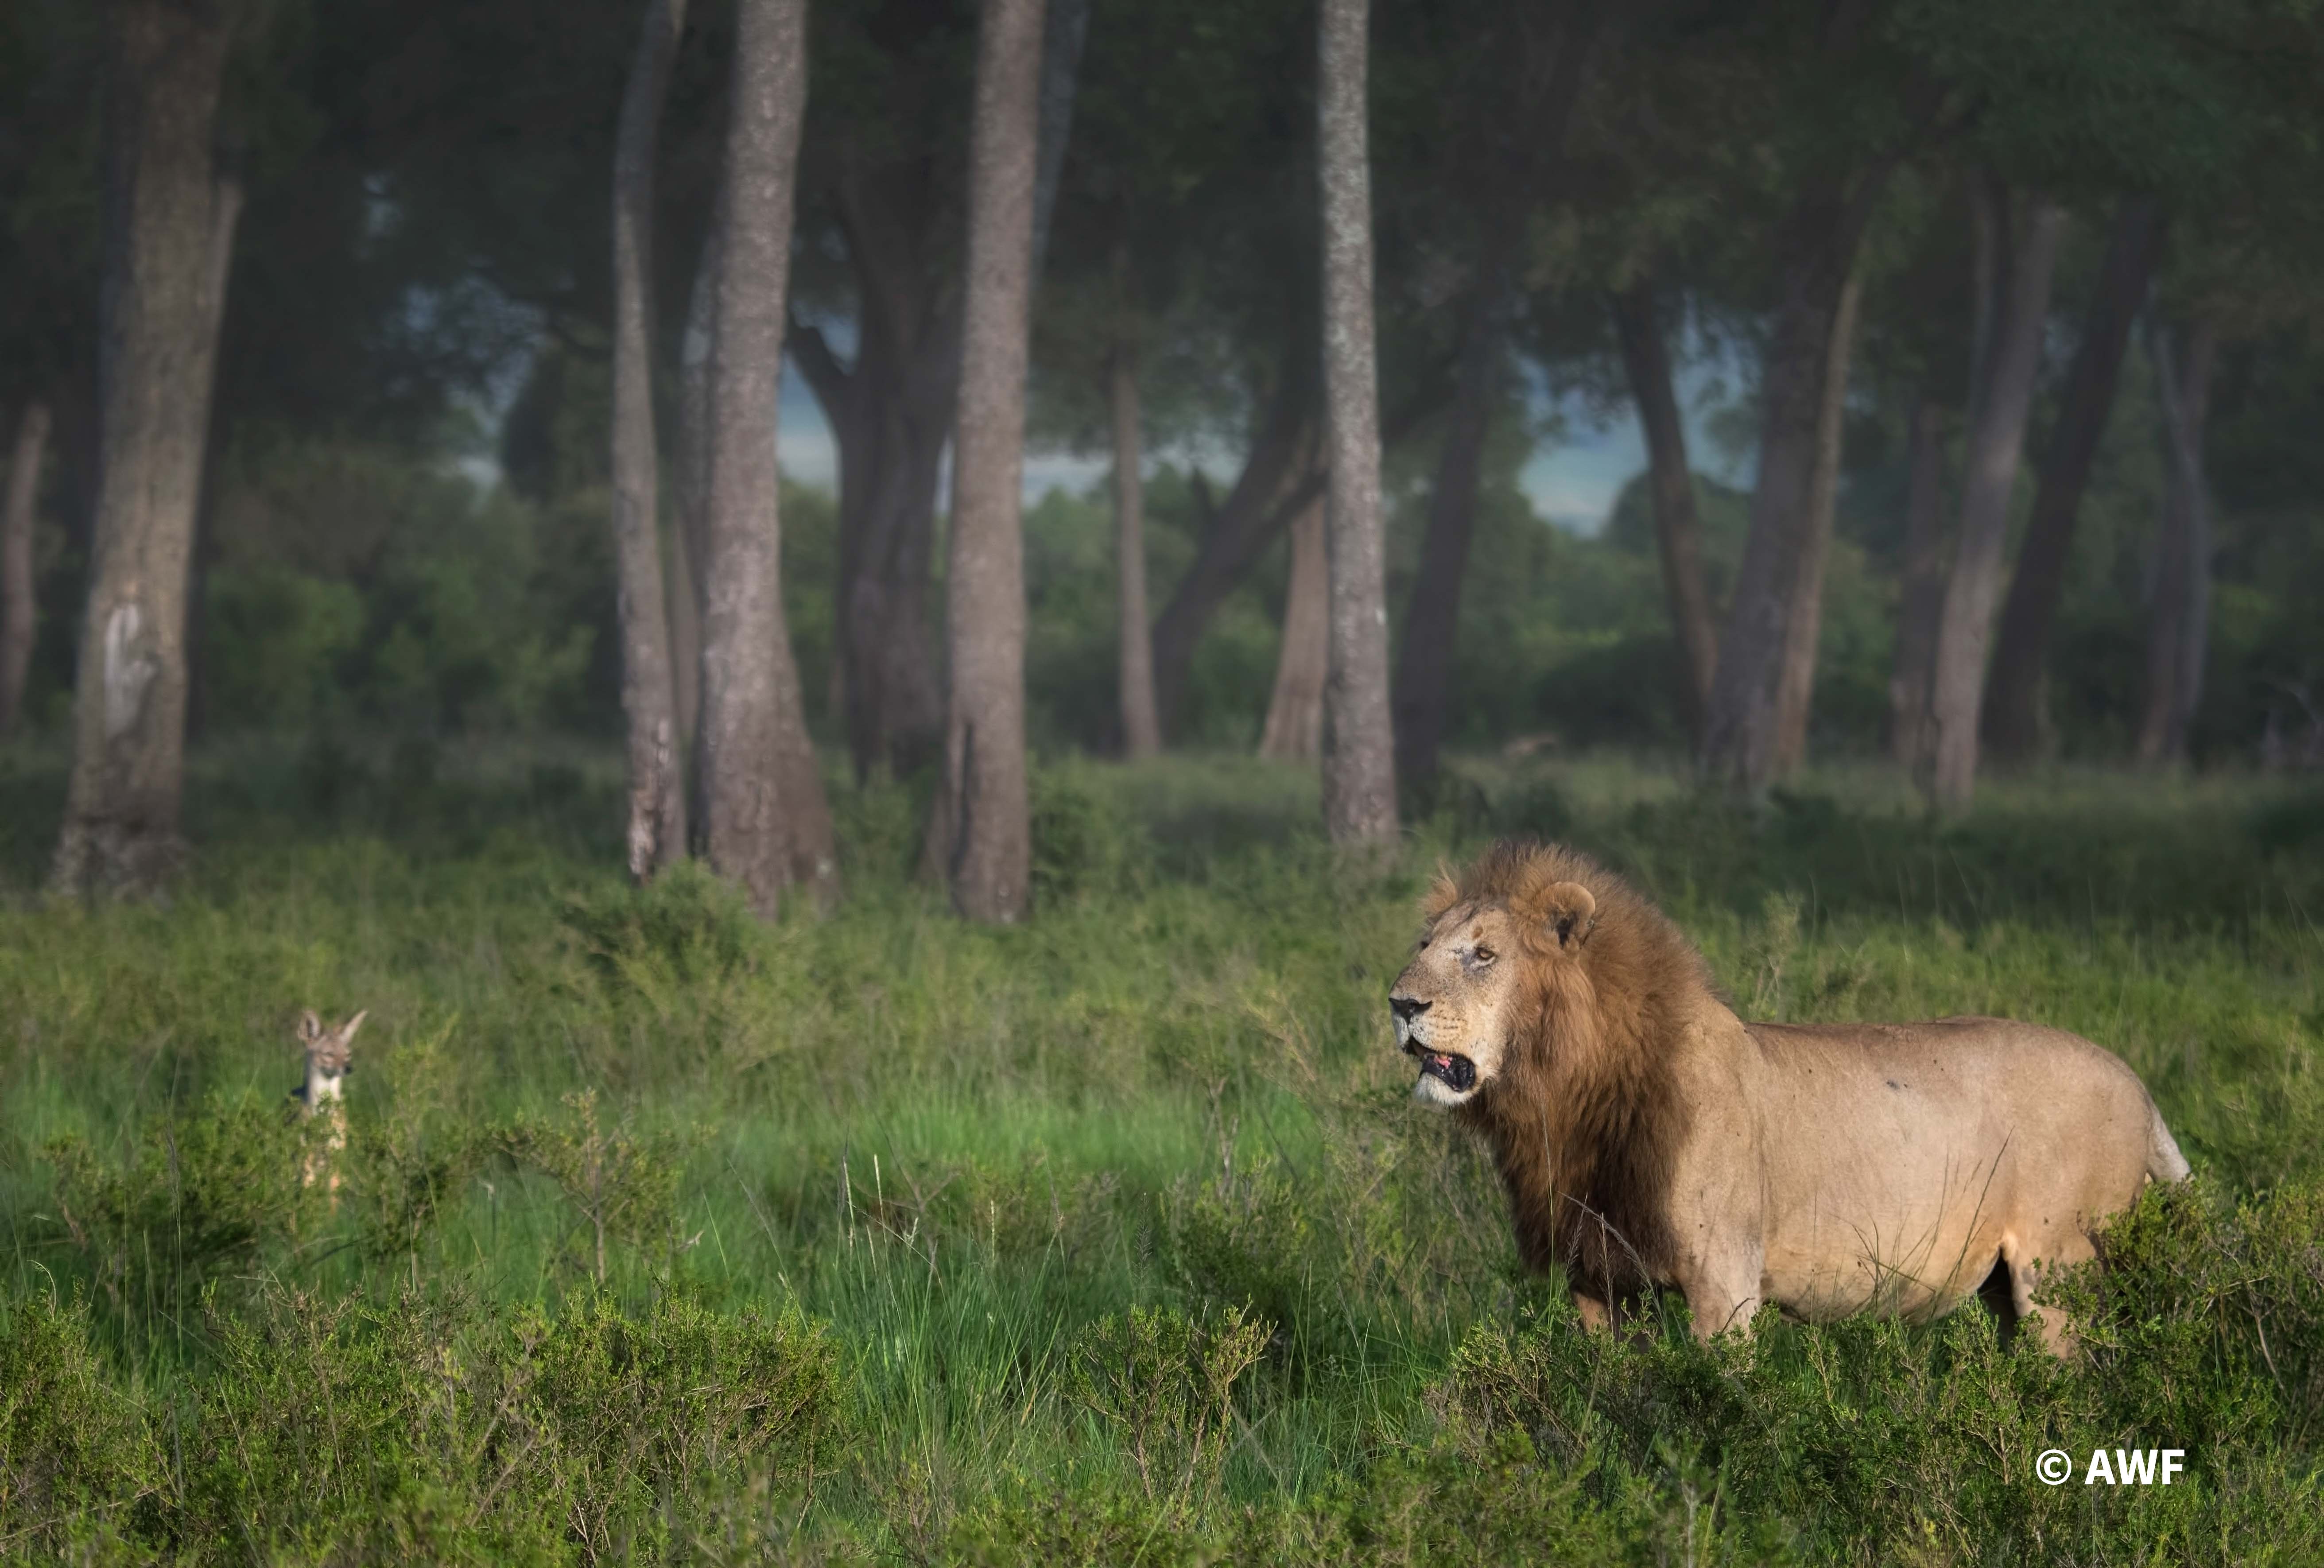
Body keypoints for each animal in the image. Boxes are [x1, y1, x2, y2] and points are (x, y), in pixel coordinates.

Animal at [1385, 841, 2184, 1356]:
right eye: (1423, 944)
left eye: (1483, 955)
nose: (1398, 1003)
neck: (1568, 1100)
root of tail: (2137, 1085)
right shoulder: (1600, 1281)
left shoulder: (1724, 1282)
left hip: (2059, 1271)